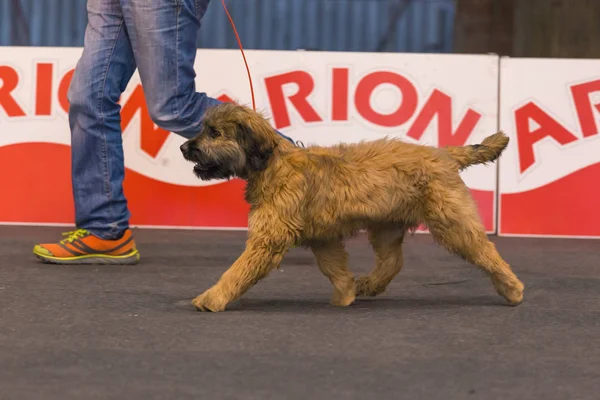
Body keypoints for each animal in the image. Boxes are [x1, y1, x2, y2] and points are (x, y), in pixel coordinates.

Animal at [180, 103, 524, 312]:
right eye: (205, 128)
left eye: (215, 133)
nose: (184, 147)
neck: (271, 162)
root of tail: (444, 154)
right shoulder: (322, 237)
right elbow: (334, 266)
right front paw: (345, 293)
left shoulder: (270, 238)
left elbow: (238, 270)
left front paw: (212, 298)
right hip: (387, 226)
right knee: (392, 262)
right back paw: (367, 285)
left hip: (451, 220)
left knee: (484, 250)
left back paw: (511, 287)